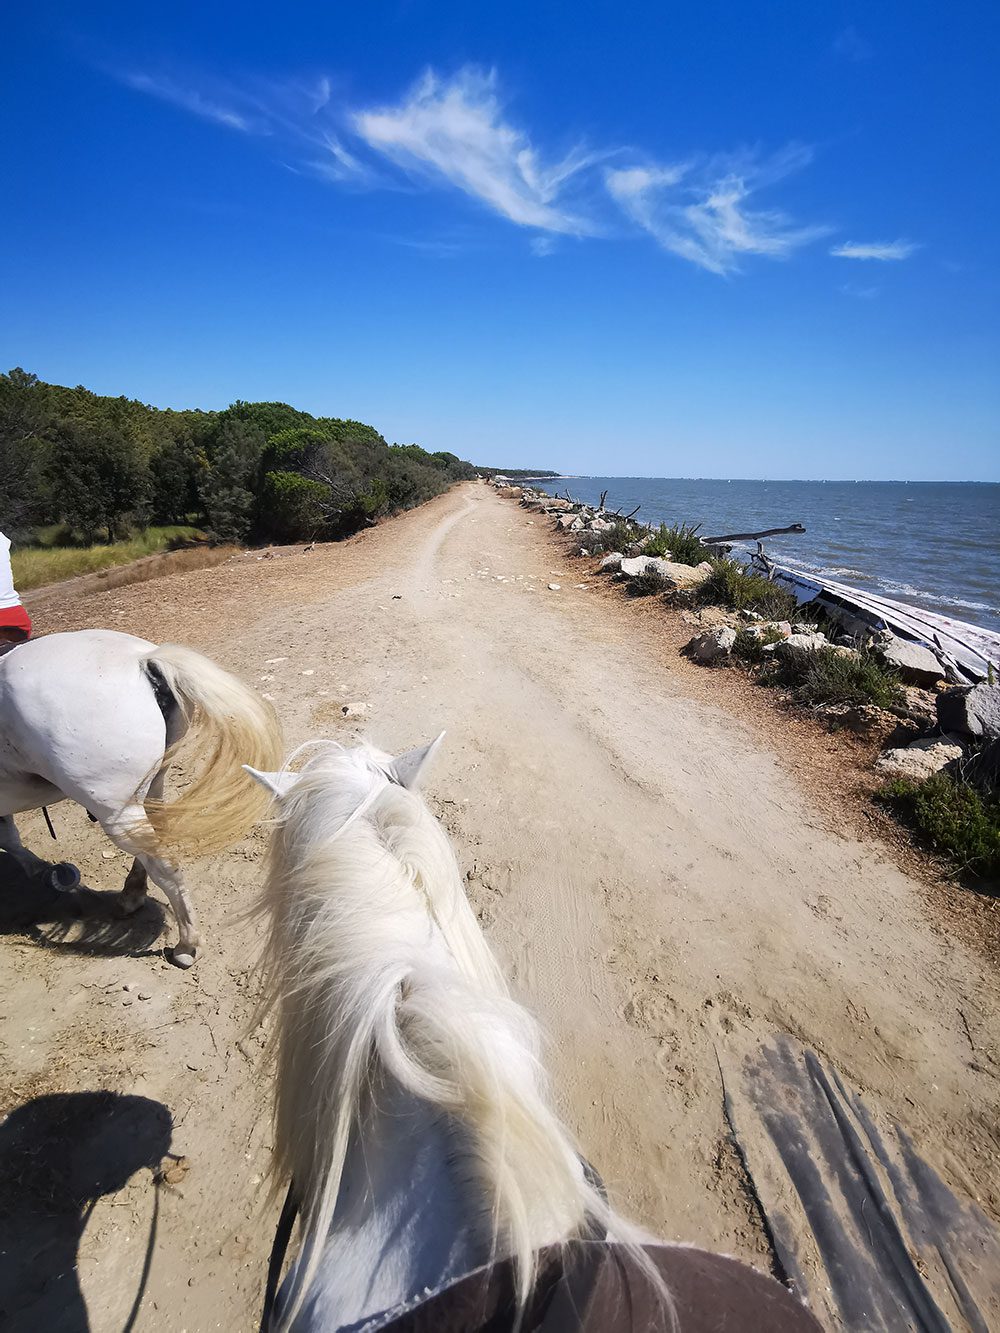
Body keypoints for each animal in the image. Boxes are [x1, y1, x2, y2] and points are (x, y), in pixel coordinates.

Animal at [0, 629, 282, 965]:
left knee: (165, 867)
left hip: (113, 808)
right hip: (150, 785)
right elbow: (9, 838)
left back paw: (187, 946)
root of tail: (141, 660)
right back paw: (131, 896)